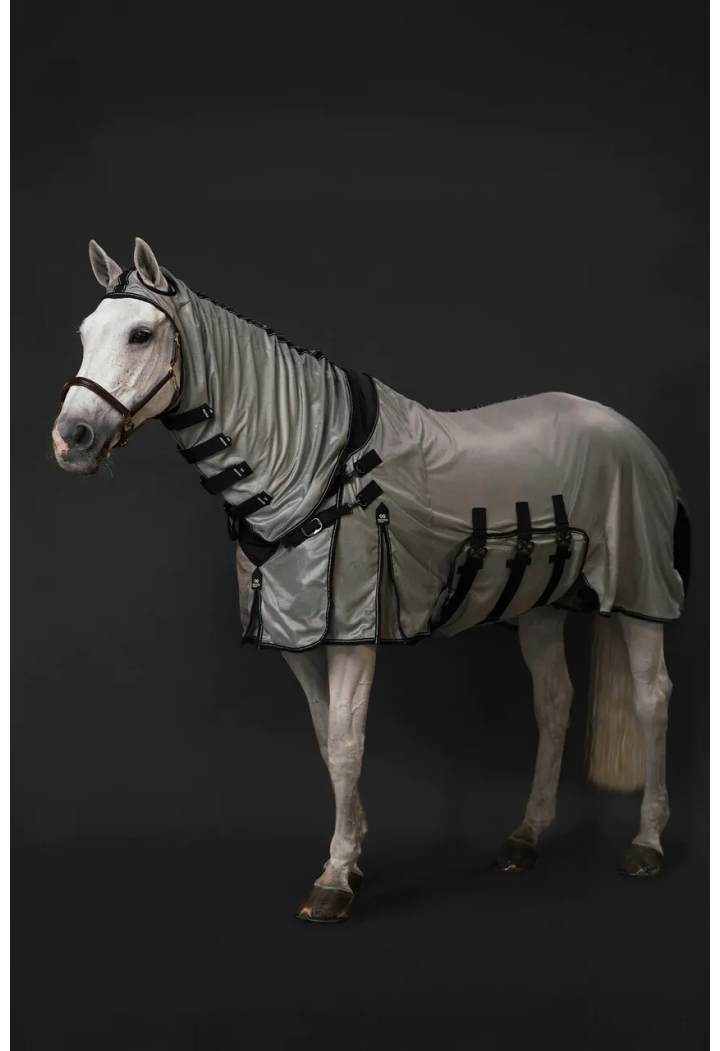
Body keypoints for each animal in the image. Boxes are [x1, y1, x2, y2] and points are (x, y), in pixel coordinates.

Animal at [51, 237, 690, 923]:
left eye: (141, 334)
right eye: (84, 333)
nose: (71, 439)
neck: (315, 463)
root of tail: (630, 433)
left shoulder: (353, 631)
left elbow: (347, 745)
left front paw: (333, 879)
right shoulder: (297, 633)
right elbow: (327, 743)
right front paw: (353, 856)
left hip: (640, 592)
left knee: (652, 698)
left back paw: (646, 843)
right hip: (539, 606)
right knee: (554, 702)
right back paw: (526, 837)